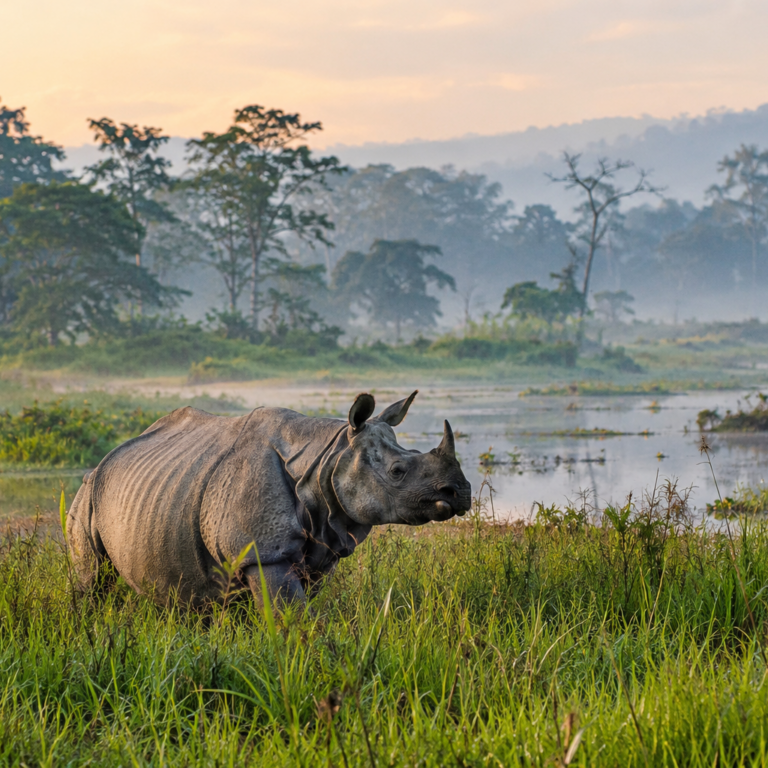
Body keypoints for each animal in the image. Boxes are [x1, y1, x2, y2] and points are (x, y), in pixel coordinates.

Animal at [67, 391, 471, 607]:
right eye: (398, 471)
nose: (461, 493)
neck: (327, 457)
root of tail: (101, 463)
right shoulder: (262, 552)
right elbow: (293, 617)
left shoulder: (321, 546)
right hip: (86, 496)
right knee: (93, 581)